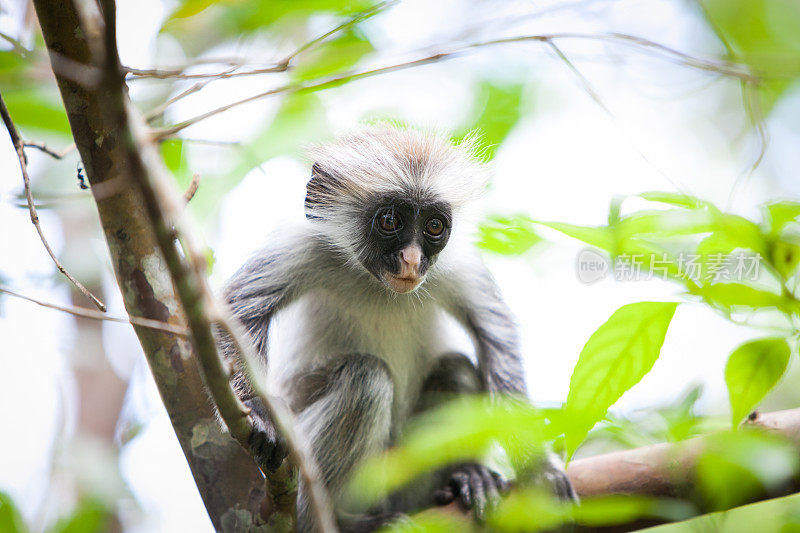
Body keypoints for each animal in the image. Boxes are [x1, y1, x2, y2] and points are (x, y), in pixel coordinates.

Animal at [219, 127, 576, 528]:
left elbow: (496, 337)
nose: (411, 260)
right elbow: (236, 311)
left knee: (457, 369)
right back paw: (342, 520)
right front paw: (256, 408)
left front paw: (538, 469)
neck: (380, 287)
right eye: (390, 221)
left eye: (434, 226)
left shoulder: (460, 263)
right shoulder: (301, 246)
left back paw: (467, 476)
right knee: (366, 378)